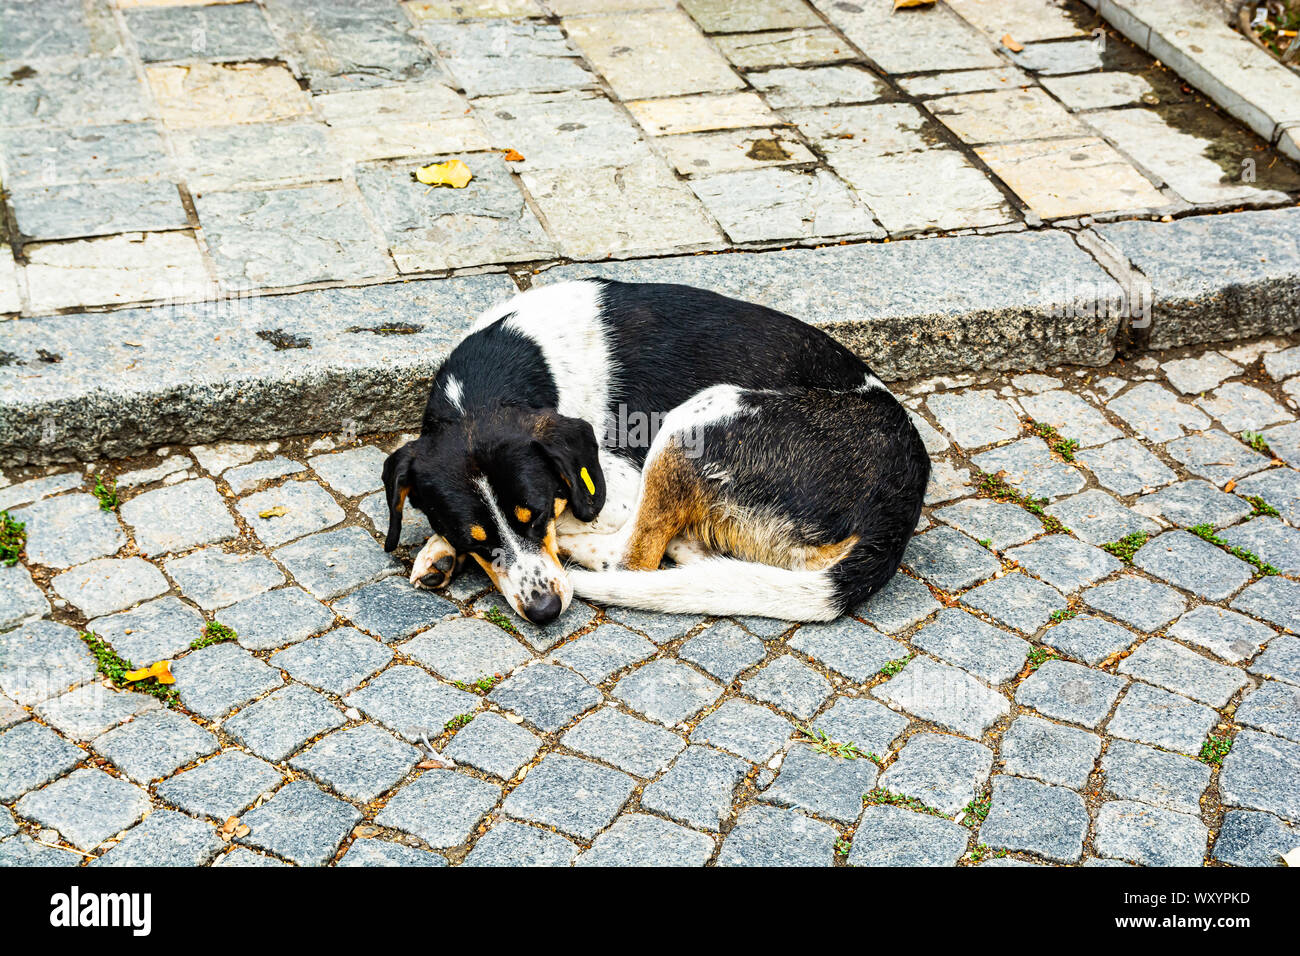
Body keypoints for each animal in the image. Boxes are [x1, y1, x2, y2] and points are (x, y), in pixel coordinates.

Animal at [379, 277, 930, 629]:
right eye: (472, 534)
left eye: (533, 515)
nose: (544, 612)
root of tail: (896, 511)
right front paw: (441, 549)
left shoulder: (613, 488)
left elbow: (585, 522)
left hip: (700, 415)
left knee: (633, 559)